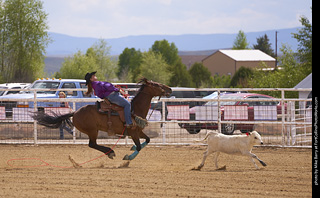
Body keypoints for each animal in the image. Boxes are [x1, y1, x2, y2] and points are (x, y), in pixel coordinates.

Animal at [32, 78, 172, 160]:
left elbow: (147, 140)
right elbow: (138, 147)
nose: (170, 88)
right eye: (156, 84)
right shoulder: (133, 132)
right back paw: (110, 152)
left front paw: (131, 149)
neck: (134, 109)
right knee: (92, 144)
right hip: (92, 130)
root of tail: (75, 112)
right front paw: (128, 158)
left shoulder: (138, 131)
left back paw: (110, 152)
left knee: (93, 144)